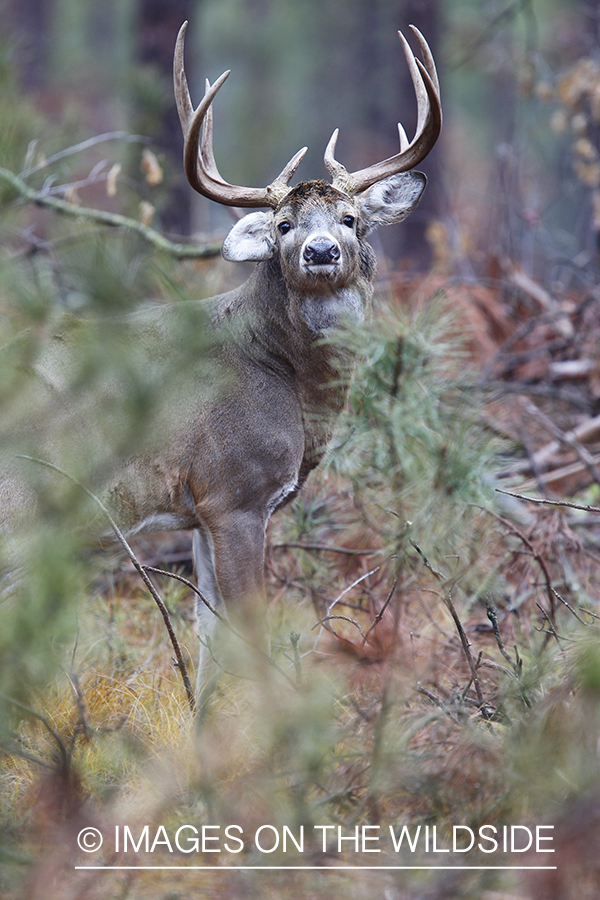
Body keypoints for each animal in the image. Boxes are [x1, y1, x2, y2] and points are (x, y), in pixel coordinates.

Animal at [0, 19, 440, 696]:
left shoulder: (199, 513)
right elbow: (249, 640)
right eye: (283, 225)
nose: (319, 251)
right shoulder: (237, 491)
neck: (288, 381)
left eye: (350, 218)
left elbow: (208, 641)